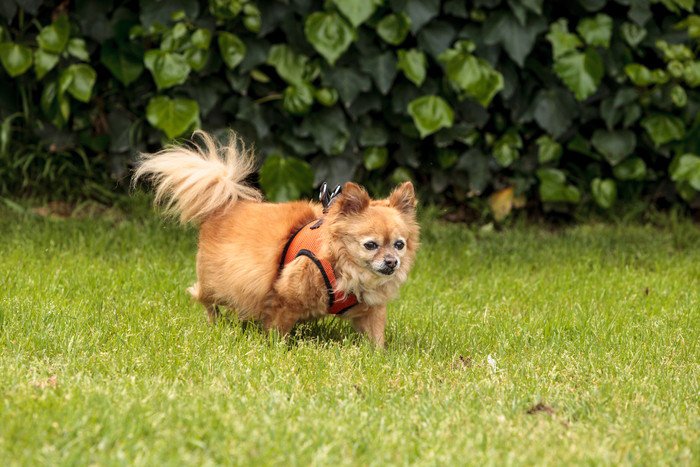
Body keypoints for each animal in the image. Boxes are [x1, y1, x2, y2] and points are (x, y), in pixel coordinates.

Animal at [135, 132, 422, 348]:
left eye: (399, 245)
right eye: (370, 245)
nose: (392, 262)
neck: (343, 267)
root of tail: (225, 205)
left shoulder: (371, 311)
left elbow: (375, 335)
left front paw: (378, 355)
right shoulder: (283, 299)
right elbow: (277, 327)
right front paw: (277, 349)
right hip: (217, 283)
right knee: (205, 300)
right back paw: (215, 324)